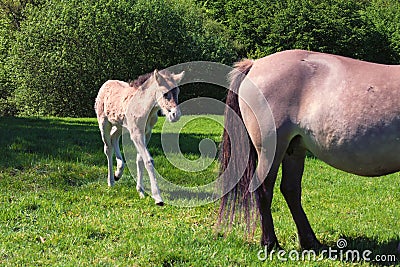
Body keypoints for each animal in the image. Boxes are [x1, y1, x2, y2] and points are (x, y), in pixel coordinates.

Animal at [95, 69, 184, 205]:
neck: (146, 108)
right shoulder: (136, 133)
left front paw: (140, 191)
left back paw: (118, 172)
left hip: (121, 125)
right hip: (104, 123)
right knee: (108, 148)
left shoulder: (147, 133)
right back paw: (111, 181)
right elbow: (148, 160)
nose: (176, 115)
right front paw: (157, 197)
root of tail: (106, 84)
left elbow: (140, 159)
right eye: (165, 94)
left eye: (177, 92)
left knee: (114, 137)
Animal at [220, 50, 400, 251]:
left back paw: (310, 241)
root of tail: (255, 64)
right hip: (271, 150)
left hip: (294, 149)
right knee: (264, 189)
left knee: (290, 189)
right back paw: (270, 243)